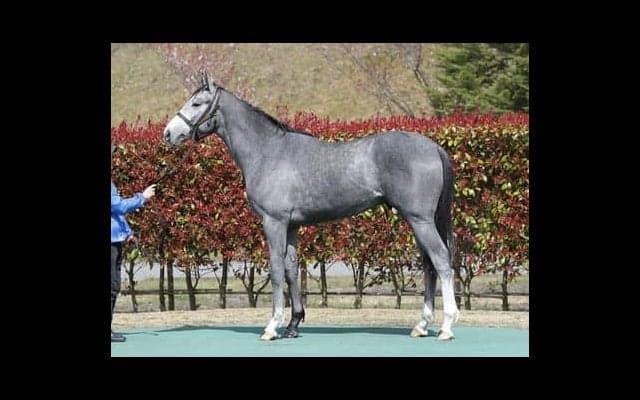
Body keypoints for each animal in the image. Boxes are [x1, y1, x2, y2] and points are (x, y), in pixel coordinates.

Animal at [163, 73, 458, 341]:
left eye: (197, 103)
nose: (168, 133)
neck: (268, 151)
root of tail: (433, 147)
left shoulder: (274, 222)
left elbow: (276, 270)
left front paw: (272, 326)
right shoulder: (292, 225)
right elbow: (291, 269)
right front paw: (294, 323)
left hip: (420, 220)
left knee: (441, 260)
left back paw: (446, 326)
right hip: (419, 221)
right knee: (429, 265)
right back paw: (421, 325)